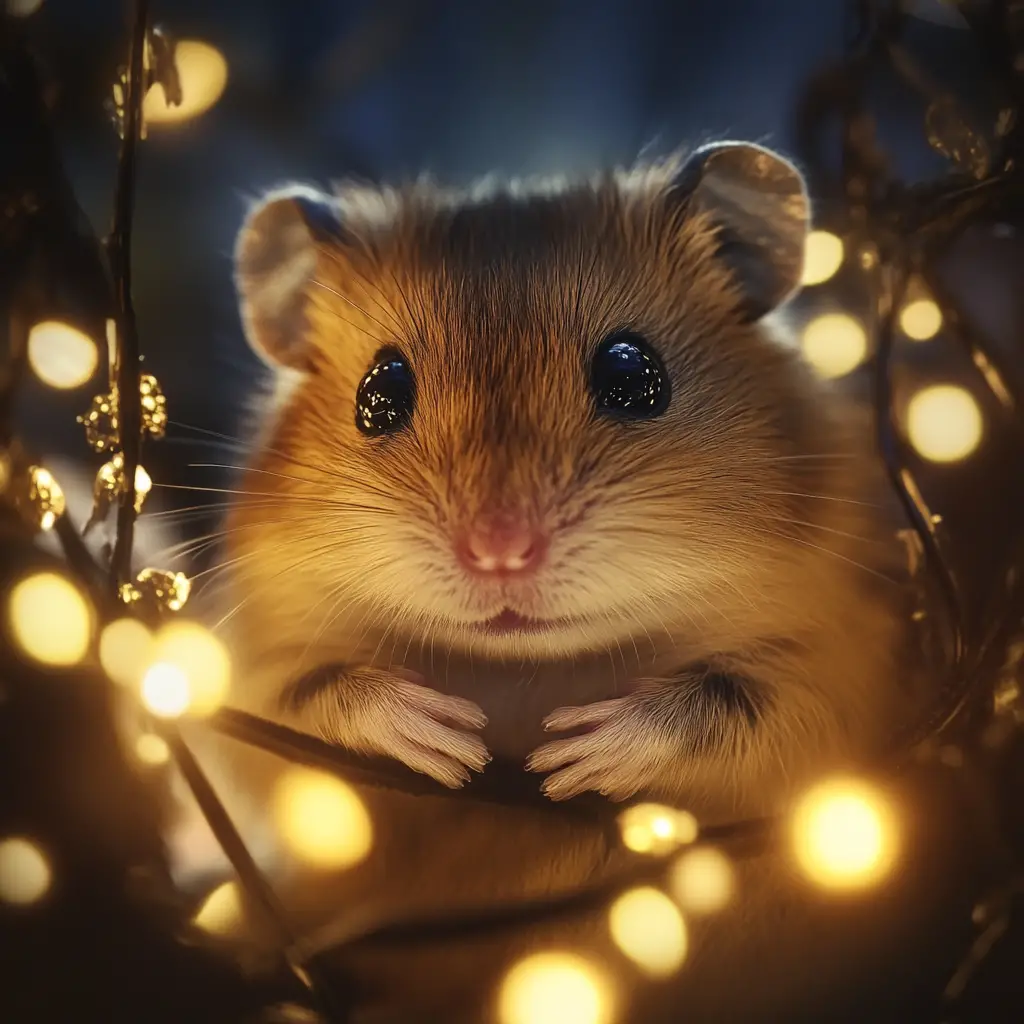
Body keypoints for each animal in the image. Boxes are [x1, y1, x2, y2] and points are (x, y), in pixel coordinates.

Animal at [175, 143, 972, 1023]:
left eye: (634, 375)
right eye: (378, 395)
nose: (499, 553)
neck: (533, 668)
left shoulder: (843, 679)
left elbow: (732, 704)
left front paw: (572, 757)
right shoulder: (247, 686)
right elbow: (314, 700)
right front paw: (450, 741)